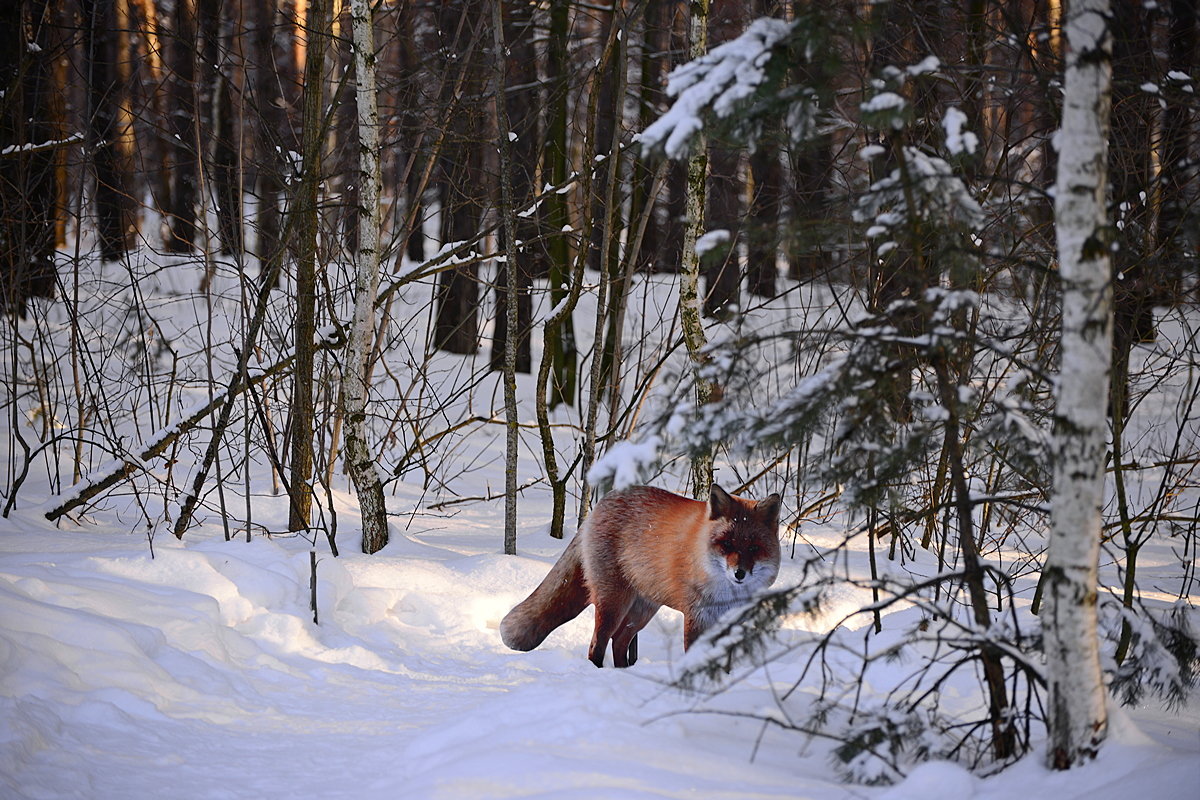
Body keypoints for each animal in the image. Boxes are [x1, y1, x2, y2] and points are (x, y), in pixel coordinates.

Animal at [501, 484, 782, 666]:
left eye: (754, 548)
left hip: (641, 611)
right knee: (598, 645)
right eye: (727, 544)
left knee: (619, 642)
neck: (727, 595)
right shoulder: (697, 617)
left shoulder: (731, 622)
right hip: (614, 604)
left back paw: (624, 673)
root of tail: (601, 504)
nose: (739, 573)